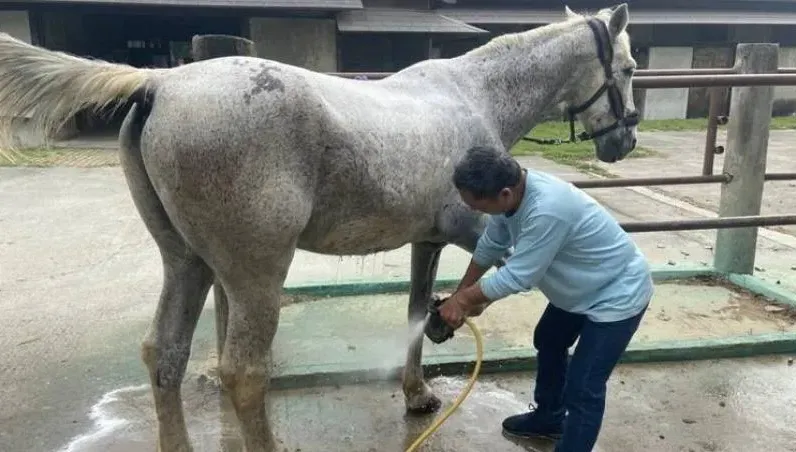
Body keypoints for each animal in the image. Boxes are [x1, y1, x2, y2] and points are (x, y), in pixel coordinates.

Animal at [0, 3, 638, 450]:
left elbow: (416, 307)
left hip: (187, 264)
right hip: (255, 277)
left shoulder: (428, 240)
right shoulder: (473, 228)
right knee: (243, 373)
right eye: (630, 68)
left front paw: (416, 394)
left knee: (165, 356)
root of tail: (160, 84)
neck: (471, 97)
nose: (626, 140)